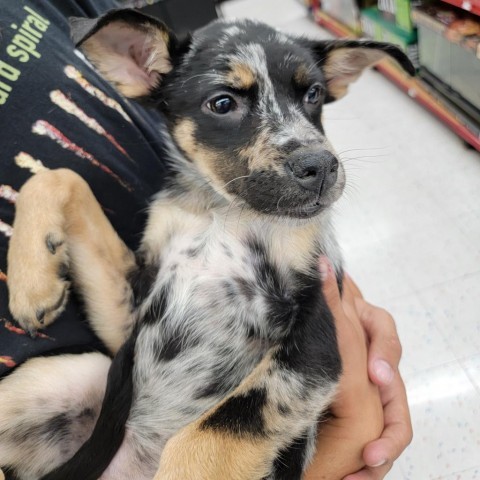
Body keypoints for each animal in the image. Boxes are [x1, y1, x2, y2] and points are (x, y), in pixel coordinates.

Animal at [0, 10, 412, 480]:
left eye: (313, 94)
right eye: (222, 103)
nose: (321, 167)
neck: (222, 211)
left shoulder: (315, 339)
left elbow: (204, 437)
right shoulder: (132, 317)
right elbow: (60, 176)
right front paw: (33, 284)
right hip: (72, 375)